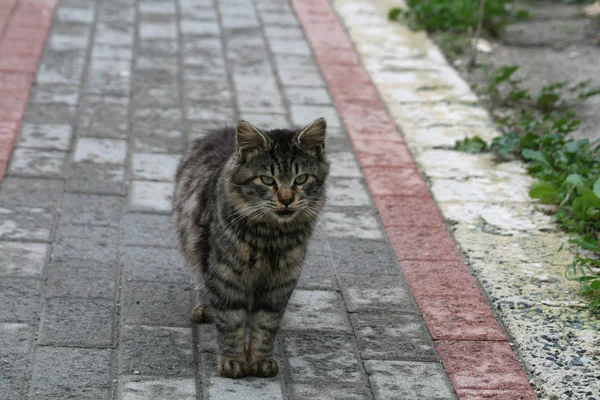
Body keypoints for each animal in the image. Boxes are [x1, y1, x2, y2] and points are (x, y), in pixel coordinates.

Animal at [171, 116, 330, 378]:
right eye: (267, 180)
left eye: (300, 179)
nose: (286, 199)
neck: (270, 238)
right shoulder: (225, 275)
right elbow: (231, 321)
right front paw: (234, 362)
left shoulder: (281, 282)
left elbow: (265, 326)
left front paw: (260, 361)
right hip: (197, 251)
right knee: (204, 285)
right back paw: (205, 309)